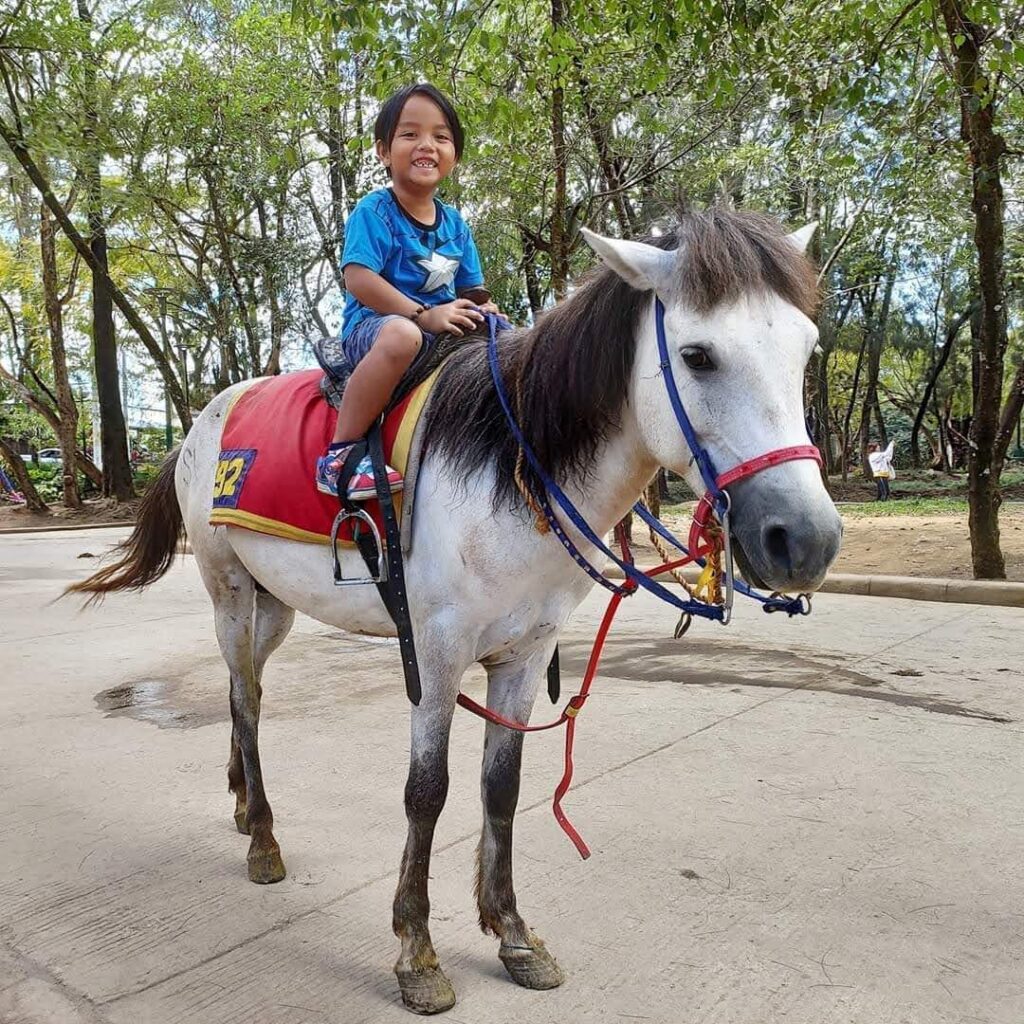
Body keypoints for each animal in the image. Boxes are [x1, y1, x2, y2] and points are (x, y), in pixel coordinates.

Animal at [72, 209, 839, 1015]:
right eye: (697, 356)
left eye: (806, 350)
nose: (806, 538)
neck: (513, 464)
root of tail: (201, 424)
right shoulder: (436, 654)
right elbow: (427, 792)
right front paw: (417, 950)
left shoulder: (526, 653)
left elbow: (502, 787)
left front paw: (512, 933)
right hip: (229, 591)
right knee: (248, 701)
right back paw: (264, 841)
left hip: (273, 605)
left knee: (236, 689)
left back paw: (246, 805)